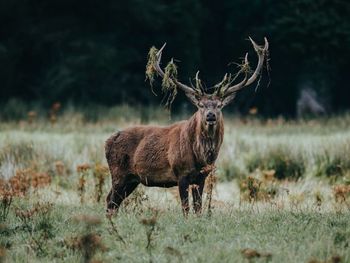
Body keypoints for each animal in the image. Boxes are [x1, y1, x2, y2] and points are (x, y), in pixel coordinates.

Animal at [105, 38, 270, 218]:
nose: (210, 115)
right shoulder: (181, 173)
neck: (200, 156)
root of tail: (107, 141)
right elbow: (185, 208)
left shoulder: (202, 177)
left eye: (219, 105)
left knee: (113, 201)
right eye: (201, 105)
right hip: (118, 172)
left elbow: (198, 208)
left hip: (132, 179)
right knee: (110, 200)